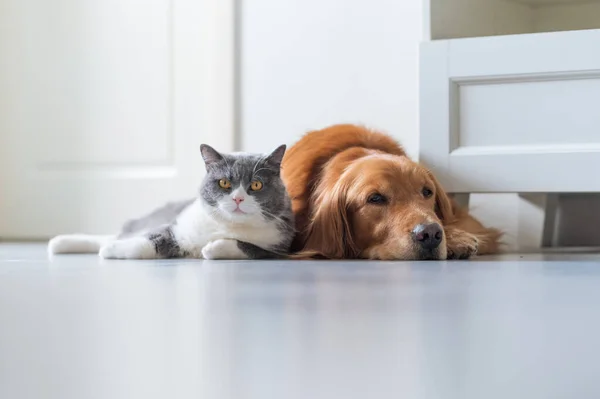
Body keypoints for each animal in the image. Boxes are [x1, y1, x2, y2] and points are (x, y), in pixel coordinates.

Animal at [48, 145, 296, 260]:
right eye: (224, 182)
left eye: (256, 185)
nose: (237, 198)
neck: (228, 225)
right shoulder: (177, 227)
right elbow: (149, 241)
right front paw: (111, 250)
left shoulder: (280, 249)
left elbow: (248, 247)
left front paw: (213, 247)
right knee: (119, 234)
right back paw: (60, 243)